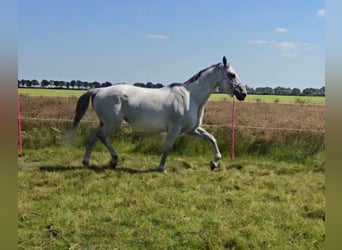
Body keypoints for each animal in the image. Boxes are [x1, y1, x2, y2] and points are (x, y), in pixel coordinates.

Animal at [73, 57, 247, 173]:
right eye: (232, 75)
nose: (243, 93)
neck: (191, 97)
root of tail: (99, 90)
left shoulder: (191, 129)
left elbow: (212, 138)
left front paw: (214, 163)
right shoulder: (175, 129)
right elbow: (167, 147)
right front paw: (161, 168)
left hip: (105, 123)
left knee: (95, 137)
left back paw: (96, 161)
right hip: (111, 124)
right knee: (99, 137)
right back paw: (103, 160)